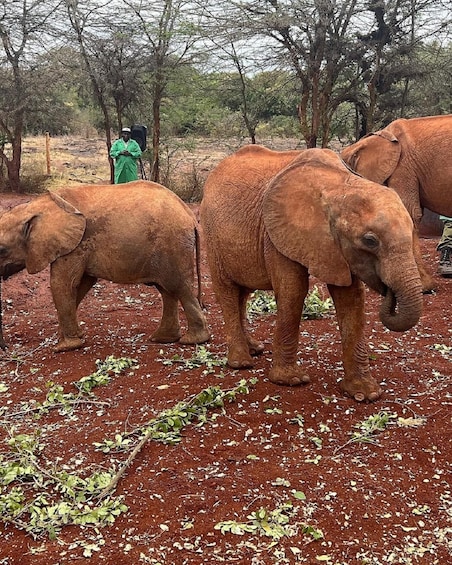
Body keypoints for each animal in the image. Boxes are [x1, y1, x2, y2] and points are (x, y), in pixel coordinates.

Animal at [0, 178, 210, 350]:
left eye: (2, 249)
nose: (6, 347)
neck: (35, 206)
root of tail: (191, 216)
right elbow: (80, 286)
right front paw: (69, 337)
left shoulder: (76, 245)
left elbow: (63, 284)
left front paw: (63, 347)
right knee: (167, 291)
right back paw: (162, 339)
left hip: (173, 244)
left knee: (180, 288)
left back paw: (193, 340)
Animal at [200, 145, 422, 400]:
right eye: (370, 241)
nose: (388, 292)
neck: (340, 185)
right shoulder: (276, 234)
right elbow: (293, 291)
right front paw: (291, 380)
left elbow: (352, 299)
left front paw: (365, 394)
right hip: (211, 235)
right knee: (227, 291)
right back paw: (241, 362)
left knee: (243, 294)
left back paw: (255, 349)